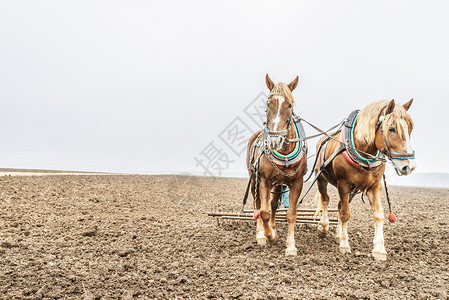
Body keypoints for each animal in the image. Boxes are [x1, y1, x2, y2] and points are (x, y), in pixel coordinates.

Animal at [247, 74, 306, 255]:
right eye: (268, 104)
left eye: (290, 105)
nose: (274, 140)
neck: (285, 152)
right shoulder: (264, 180)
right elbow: (263, 211)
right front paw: (268, 236)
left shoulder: (297, 182)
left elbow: (291, 213)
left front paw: (291, 245)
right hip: (255, 179)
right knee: (258, 204)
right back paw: (261, 233)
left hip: (279, 182)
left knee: (273, 204)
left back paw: (272, 228)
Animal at [314, 98, 414, 260]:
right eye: (392, 129)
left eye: (410, 128)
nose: (409, 166)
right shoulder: (343, 184)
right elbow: (345, 214)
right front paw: (345, 245)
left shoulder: (375, 185)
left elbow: (378, 215)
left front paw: (379, 250)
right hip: (321, 178)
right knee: (325, 200)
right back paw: (324, 227)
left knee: (338, 205)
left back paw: (338, 235)